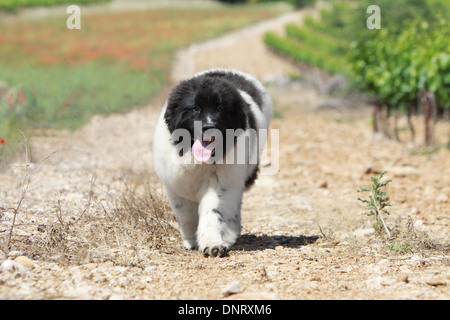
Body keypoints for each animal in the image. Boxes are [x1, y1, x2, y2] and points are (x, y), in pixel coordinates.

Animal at [153, 68, 272, 258]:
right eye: (195, 108)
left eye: (220, 108)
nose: (209, 127)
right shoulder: (176, 185)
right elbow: (186, 215)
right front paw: (191, 240)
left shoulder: (221, 183)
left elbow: (213, 213)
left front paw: (212, 244)